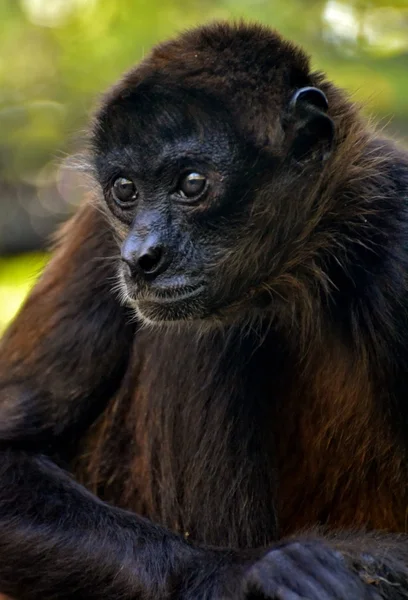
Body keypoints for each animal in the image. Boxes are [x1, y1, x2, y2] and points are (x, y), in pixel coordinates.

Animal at [0, 21, 408, 600]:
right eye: (125, 190)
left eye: (192, 184)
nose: (141, 257)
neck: (292, 277)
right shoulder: (101, 233)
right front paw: (245, 570)